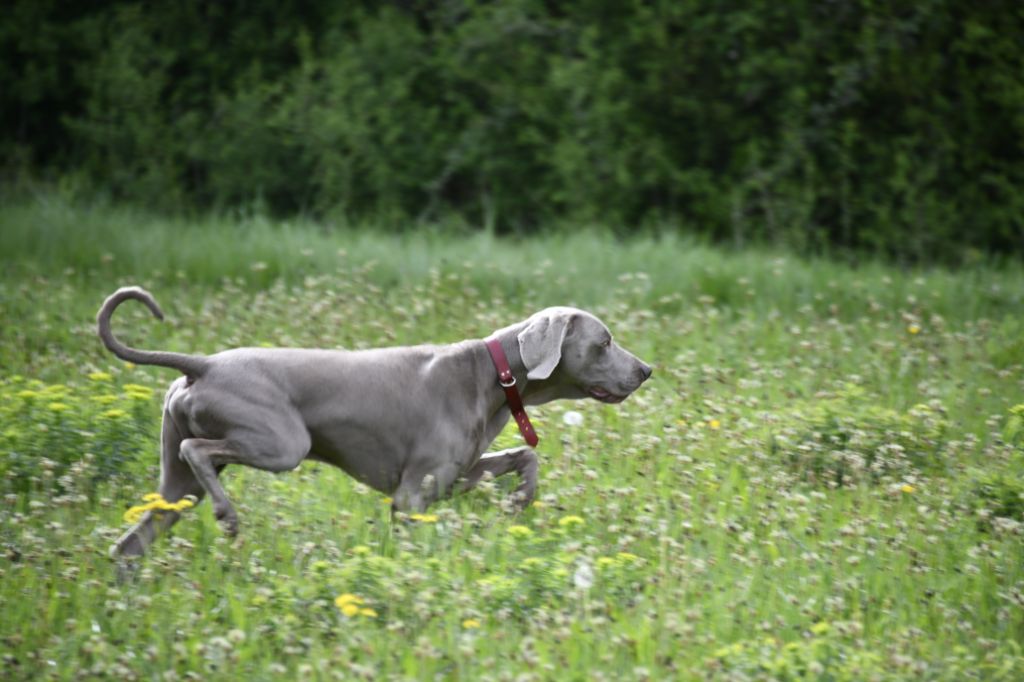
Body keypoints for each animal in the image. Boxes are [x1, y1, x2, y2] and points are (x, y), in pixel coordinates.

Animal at [101, 284, 647, 557]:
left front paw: (519, 502)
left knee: (130, 544)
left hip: (178, 486)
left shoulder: (455, 476)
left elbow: (525, 458)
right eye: (604, 341)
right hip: (282, 444)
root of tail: (203, 365)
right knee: (198, 451)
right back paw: (228, 516)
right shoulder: (411, 496)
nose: (647, 370)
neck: (492, 374)